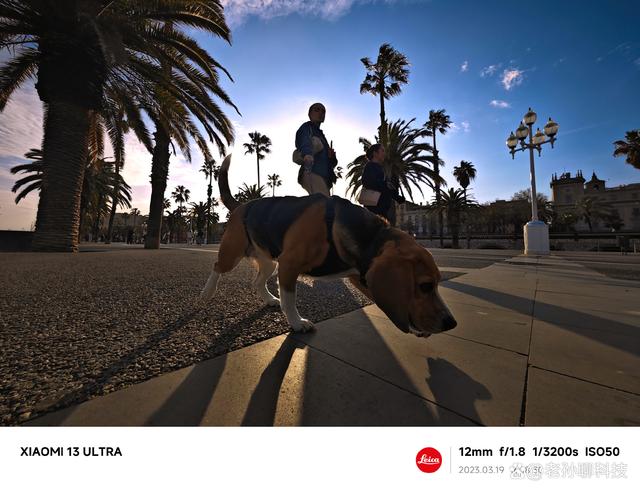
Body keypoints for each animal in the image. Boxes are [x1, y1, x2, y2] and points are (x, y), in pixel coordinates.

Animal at [200, 156, 456, 336]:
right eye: (425, 286)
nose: (451, 323)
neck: (372, 235)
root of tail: (241, 205)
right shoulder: (289, 265)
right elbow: (290, 300)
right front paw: (297, 323)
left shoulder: (359, 274)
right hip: (233, 253)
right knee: (216, 266)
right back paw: (206, 292)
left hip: (269, 262)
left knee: (257, 281)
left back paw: (270, 299)